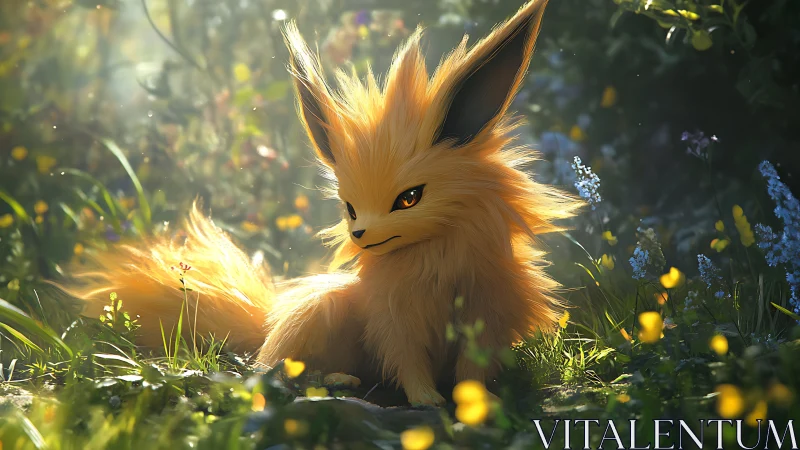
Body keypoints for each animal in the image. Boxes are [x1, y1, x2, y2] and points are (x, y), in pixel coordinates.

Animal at [60, 0, 583, 406]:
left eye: (409, 198)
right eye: (349, 207)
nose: (360, 234)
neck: (438, 260)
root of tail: (269, 325)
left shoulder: (487, 317)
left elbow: (472, 373)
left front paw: (475, 404)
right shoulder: (396, 323)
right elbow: (410, 365)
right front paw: (428, 402)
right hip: (319, 313)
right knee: (273, 375)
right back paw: (337, 380)